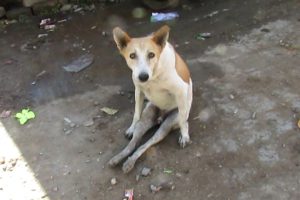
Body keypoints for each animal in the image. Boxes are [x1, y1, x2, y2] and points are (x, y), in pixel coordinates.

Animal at [108, 25, 192, 173]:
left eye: (151, 54)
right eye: (132, 55)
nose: (143, 76)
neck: (154, 74)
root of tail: (161, 117)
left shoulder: (181, 89)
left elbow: (183, 121)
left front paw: (184, 135)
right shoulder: (138, 89)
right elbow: (136, 113)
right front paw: (131, 127)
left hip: (166, 126)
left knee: (147, 143)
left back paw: (129, 162)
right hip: (146, 118)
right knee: (134, 143)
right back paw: (119, 158)